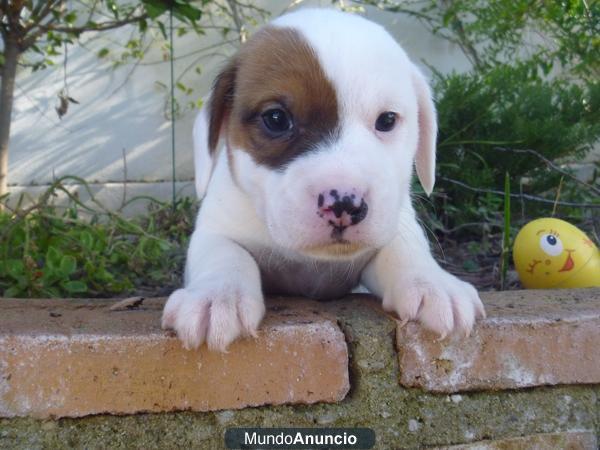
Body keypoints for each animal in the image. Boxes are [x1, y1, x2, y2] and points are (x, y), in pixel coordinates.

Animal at [162, 7, 486, 352]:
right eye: (276, 119)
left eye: (387, 120)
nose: (345, 204)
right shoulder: (215, 229)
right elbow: (225, 254)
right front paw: (217, 296)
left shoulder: (392, 227)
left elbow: (405, 250)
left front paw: (432, 283)